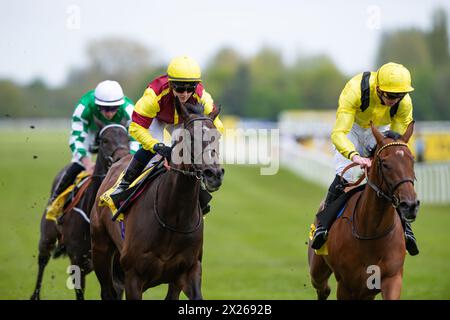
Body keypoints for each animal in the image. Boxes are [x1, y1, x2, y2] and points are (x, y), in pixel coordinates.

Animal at [30, 120, 130, 300]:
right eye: (104, 140)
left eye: (127, 138)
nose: (122, 157)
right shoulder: (77, 260)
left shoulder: (116, 265)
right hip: (47, 236)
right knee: (42, 261)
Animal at [90, 99, 224, 300]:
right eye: (191, 137)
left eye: (218, 136)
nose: (214, 174)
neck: (173, 218)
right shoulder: (133, 277)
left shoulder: (188, 271)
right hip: (101, 250)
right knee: (108, 291)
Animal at [308, 122, 420, 300]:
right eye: (385, 164)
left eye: (412, 161)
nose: (410, 205)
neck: (371, 232)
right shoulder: (346, 285)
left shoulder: (391, 278)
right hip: (317, 269)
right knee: (323, 288)